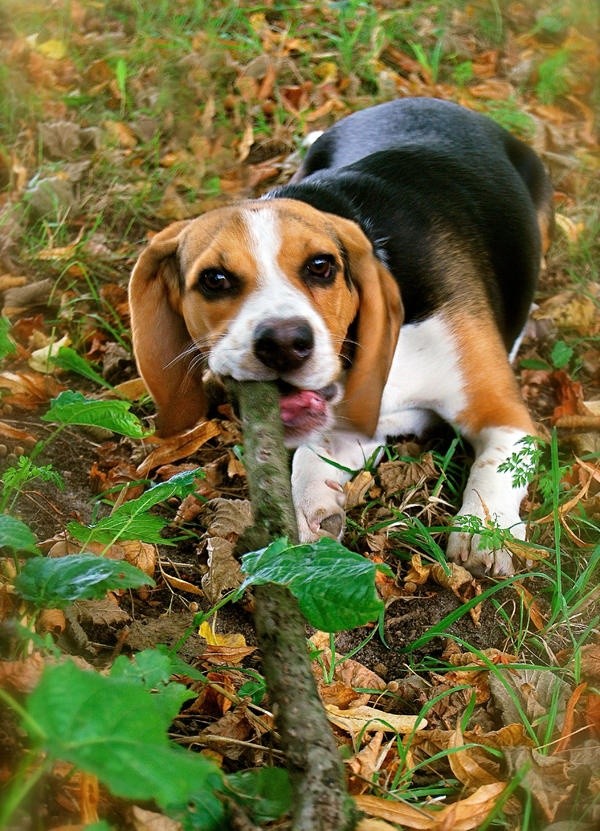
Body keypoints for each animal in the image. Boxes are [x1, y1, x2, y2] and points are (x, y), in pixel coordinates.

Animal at [129, 97, 552, 576]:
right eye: (215, 279)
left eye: (321, 266)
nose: (283, 343)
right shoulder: (350, 429)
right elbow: (309, 459)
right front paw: (308, 517)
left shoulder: (504, 414)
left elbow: (498, 467)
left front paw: (487, 529)